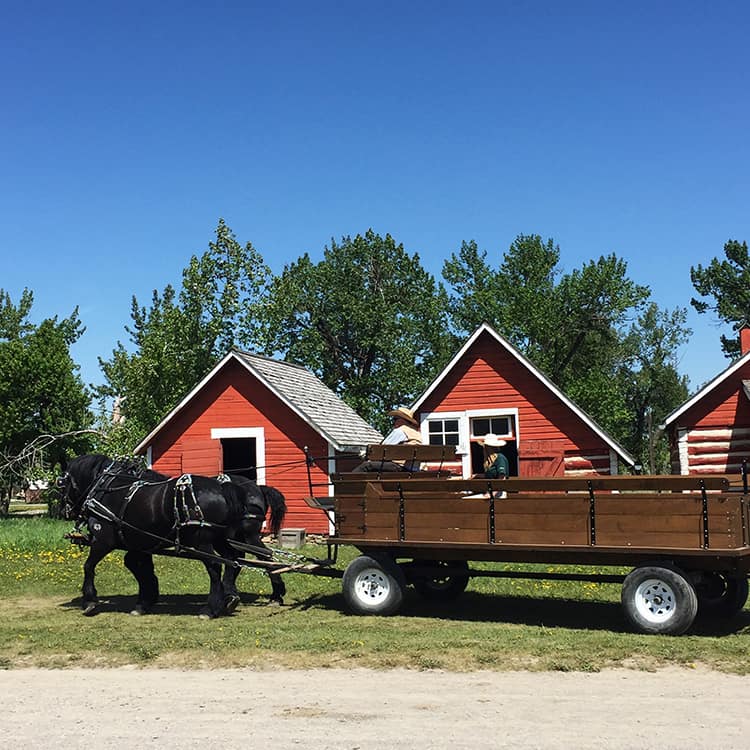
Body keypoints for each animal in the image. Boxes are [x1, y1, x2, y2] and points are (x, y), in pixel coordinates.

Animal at [58, 456, 284, 620]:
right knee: (236, 560)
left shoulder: (103, 540)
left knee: (223, 564)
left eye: (60, 483)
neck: (105, 488)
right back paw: (233, 597)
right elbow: (139, 568)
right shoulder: (140, 544)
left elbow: (89, 566)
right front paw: (145, 600)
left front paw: (89, 601)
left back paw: (211, 608)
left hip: (211, 540)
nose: (64, 511)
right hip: (224, 538)